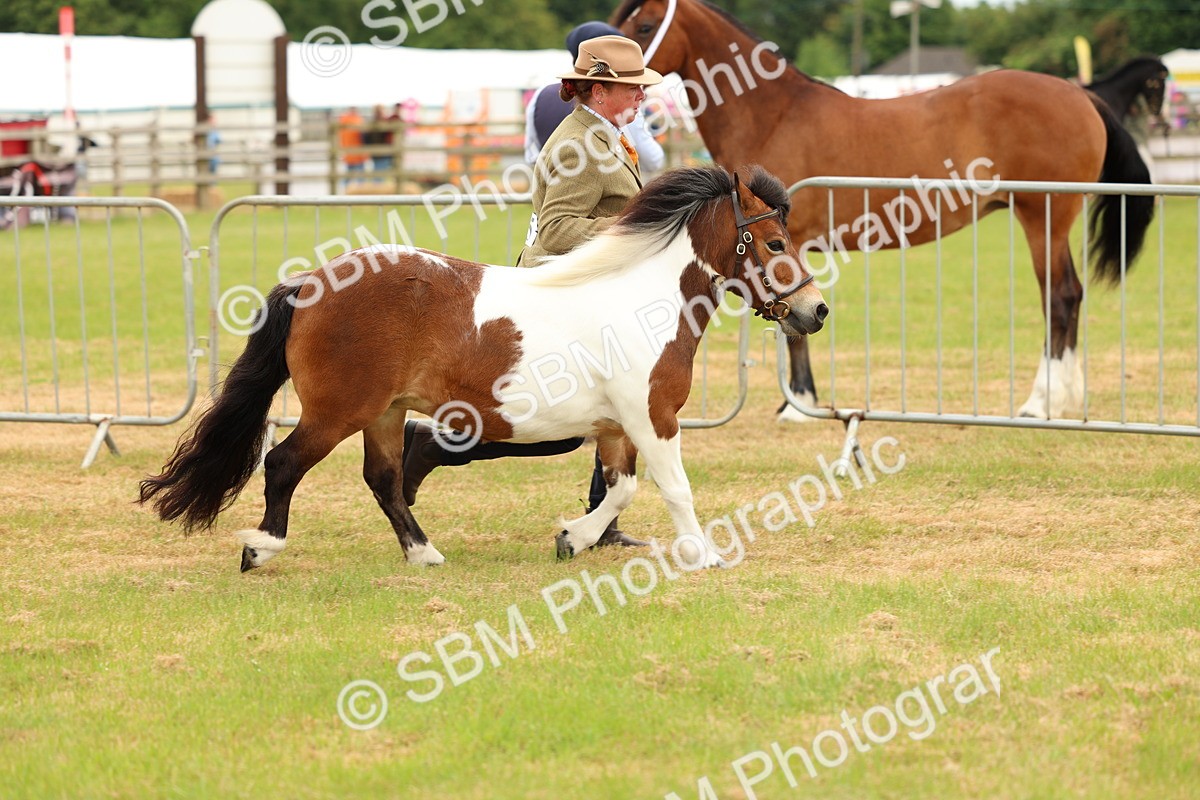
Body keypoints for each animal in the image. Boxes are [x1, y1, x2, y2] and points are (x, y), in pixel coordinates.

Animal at [138, 165, 828, 572]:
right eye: (774, 243)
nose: (815, 311)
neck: (640, 298)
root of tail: (310, 282)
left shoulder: (617, 427)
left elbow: (622, 489)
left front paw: (573, 538)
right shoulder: (653, 417)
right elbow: (674, 488)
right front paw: (703, 554)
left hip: (385, 414)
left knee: (384, 478)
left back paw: (424, 554)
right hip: (339, 411)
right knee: (283, 463)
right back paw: (261, 548)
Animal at [612, 0, 1156, 421]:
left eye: (645, 26)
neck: (776, 113)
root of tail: (1081, 94)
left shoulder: (789, 237)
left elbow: (795, 324)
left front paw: (799, 404)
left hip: (1044, 216)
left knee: (1060, 297)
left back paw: (1042, 403)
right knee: (1070, 296)